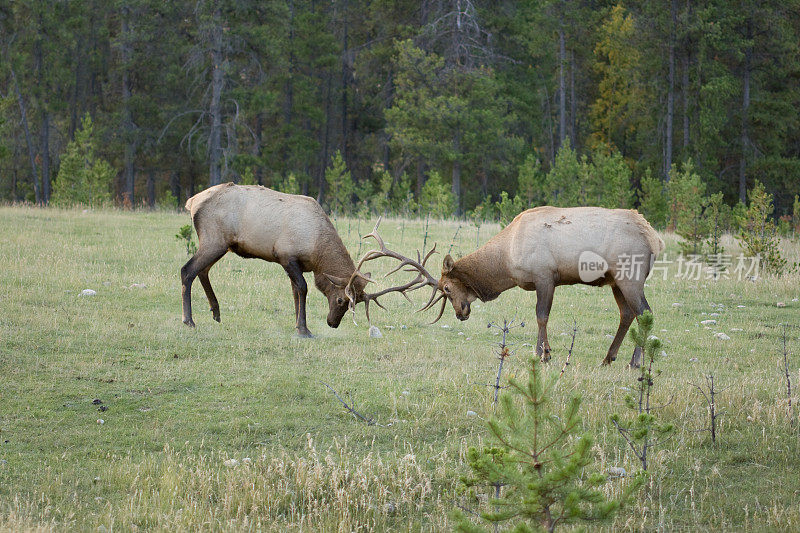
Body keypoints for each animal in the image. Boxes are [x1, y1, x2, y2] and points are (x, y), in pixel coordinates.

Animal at [180, 181, 416, 334]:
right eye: (341, 300)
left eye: (356, 301)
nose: (333, 323)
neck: (317, 250)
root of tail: (192, 201)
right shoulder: (287, 256)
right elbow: (303, 288)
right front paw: (304, 328)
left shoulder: (298, 264)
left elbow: (295, 292)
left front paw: (297, 324)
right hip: (214, 240)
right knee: (187, 270)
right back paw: (189, 320)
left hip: (221, 244)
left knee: (203, 271)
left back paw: (216, 312)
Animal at [428, 205, 664, 366]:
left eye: (447, 288)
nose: (460, 313)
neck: (506, 258)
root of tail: (654, 237)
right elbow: (543, 317)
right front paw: (547, 351)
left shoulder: (544, 276)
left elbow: (541, 315)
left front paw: (541, 354)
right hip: (616, 281)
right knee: (627, 314)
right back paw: (608, 357)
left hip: (630, 277)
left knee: (644, 312)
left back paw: (635, 361)